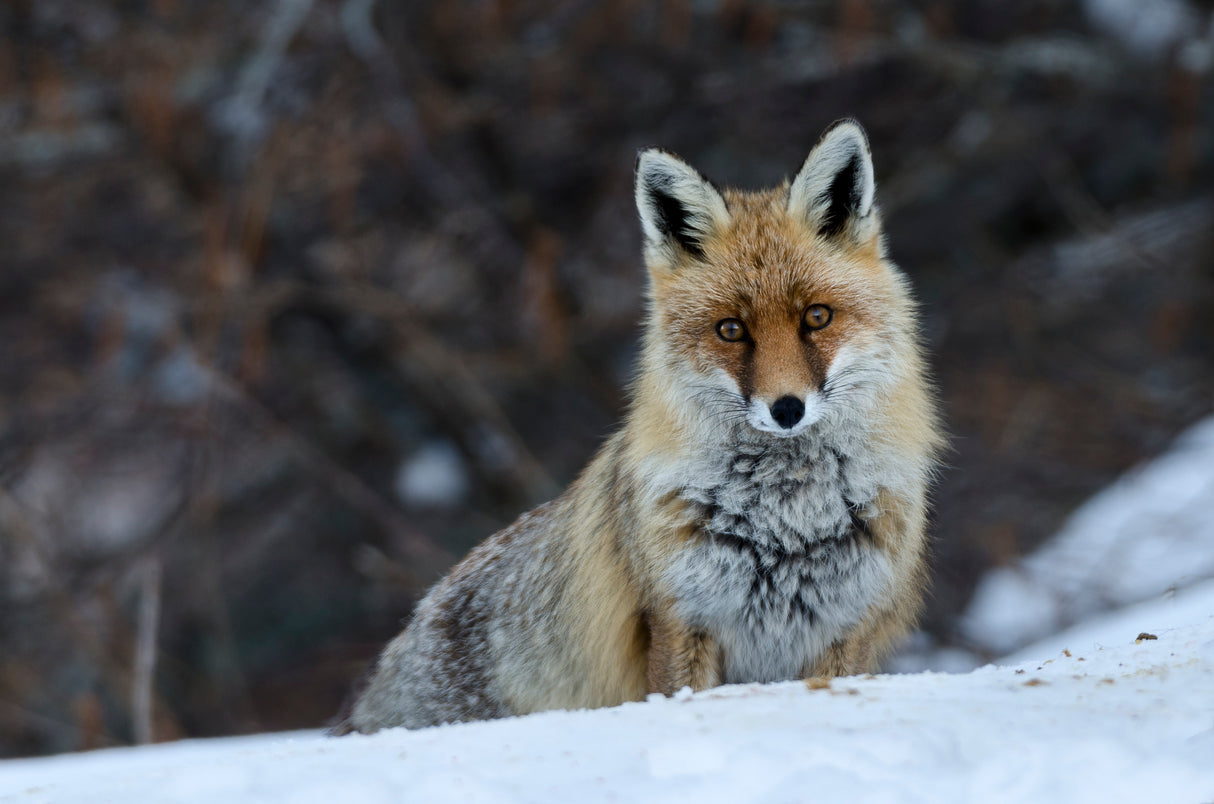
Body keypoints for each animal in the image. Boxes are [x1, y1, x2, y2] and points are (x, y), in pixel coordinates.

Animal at [335, 119, 943, 734]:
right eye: (730, 330)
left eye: (816, 317)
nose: (787, 408)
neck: (786, 520)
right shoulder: (679, 619)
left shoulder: (849, 628)